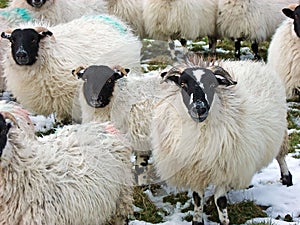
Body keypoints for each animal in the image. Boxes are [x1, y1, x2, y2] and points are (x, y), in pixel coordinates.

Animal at [151, 53, 290, 225]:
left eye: (212, 85)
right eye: (183, 84)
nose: (199, 108)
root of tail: (256, 63)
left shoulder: (223, 167)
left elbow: (220, 201)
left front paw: (224, 221)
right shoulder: (194, 169)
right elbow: (197, 198)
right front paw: (197, 220)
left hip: (281, 132)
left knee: (281, 156)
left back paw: (287, 178)